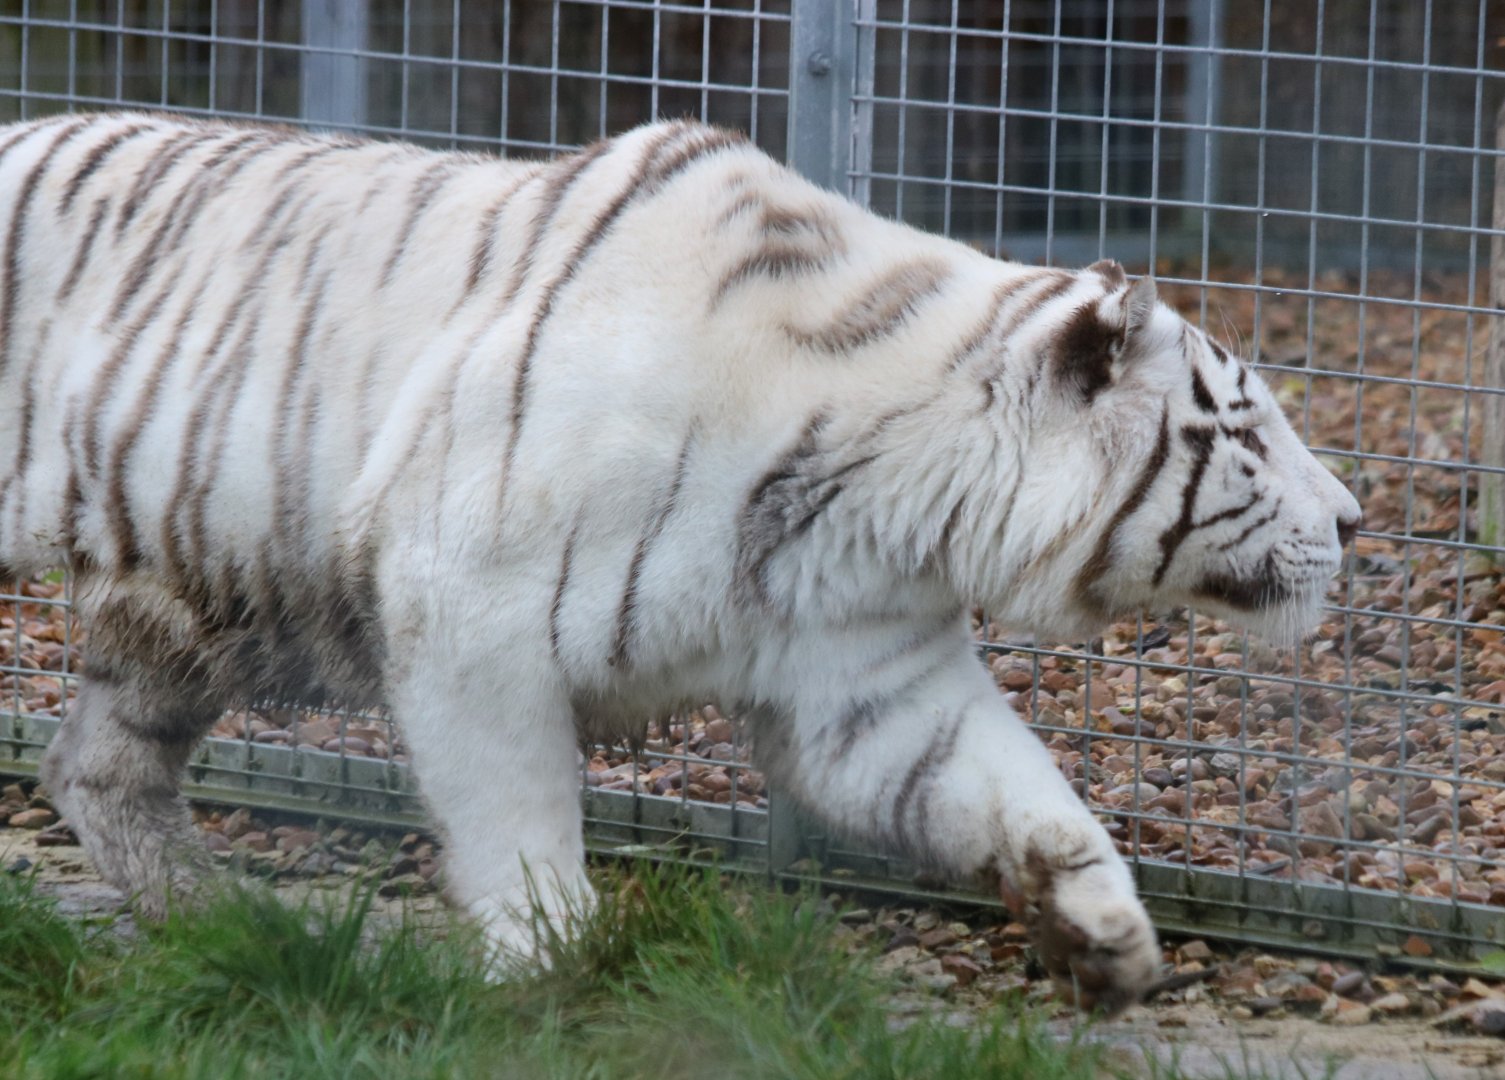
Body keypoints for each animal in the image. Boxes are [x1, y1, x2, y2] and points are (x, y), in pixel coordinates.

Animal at [0, 112, 1359, 1014]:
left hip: (186, 605)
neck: (889, 490)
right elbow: (518, 807)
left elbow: (1017, 788)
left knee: (93, 766)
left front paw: (1106, 937)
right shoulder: (467, 607)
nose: (1351, 520)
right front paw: (549, 961)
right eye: (1244, 434)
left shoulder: (873, 682)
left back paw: (217, 916)